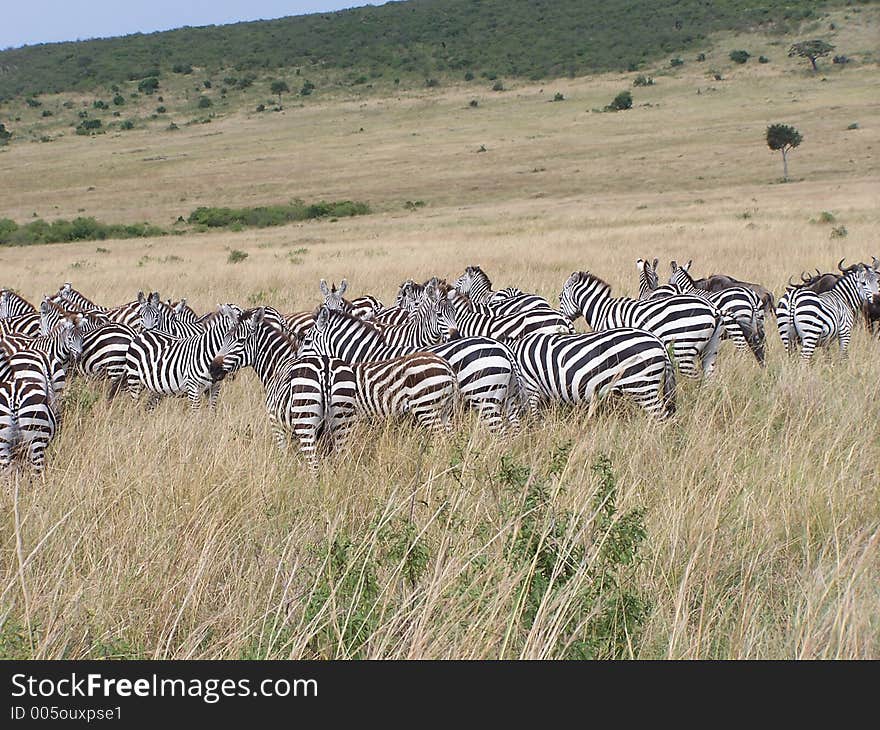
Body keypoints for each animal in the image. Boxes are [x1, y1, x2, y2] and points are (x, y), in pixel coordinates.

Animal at [300, 304, 524, 430]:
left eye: (307, 341)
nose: (298, 365)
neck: (368, 353)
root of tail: (503, 348)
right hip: (507, 398)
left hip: (484, 397)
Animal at [560, 270, 724, 378]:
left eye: (560, 297)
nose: (563, 319)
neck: (602, 310)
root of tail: (712, 308)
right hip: (710, 350)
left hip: (683, 348)